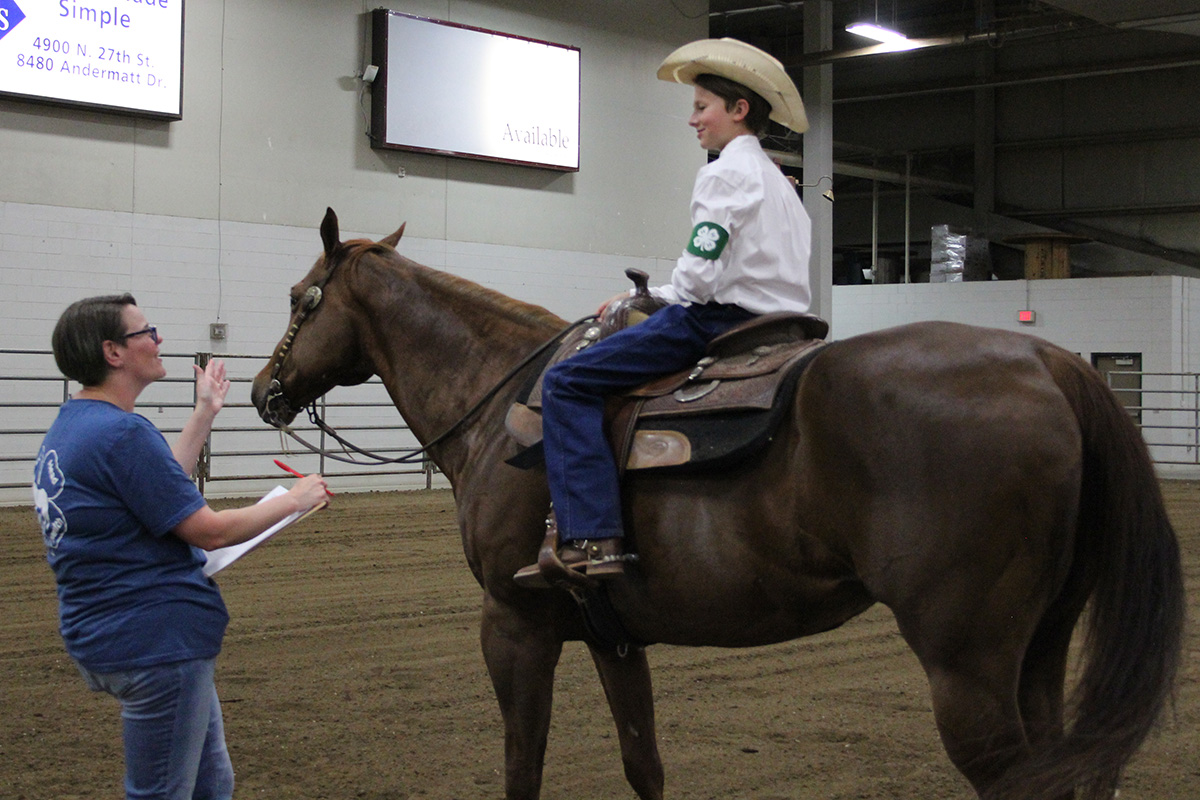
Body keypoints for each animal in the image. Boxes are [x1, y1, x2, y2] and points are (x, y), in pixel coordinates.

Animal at [250, 208, 1180, 800]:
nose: (263, 391)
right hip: (1042, 646)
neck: (504, 392)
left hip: (966, 664)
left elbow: (524, 765)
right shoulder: (612, 635)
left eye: (302, 299)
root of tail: (1048, 364)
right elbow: (643, 764)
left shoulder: (513, 623)